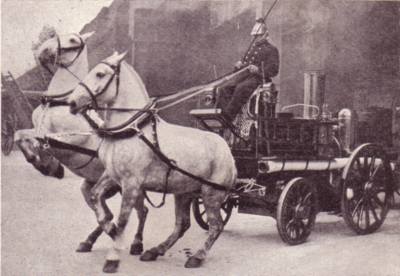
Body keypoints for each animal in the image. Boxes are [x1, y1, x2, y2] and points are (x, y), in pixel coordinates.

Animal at [14, 33, 149, 256]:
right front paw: (46, 164)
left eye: (72, 40)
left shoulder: (69, 138)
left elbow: (42, 141)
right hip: (89, 187)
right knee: (105, 214)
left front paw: (48, 165)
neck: (57, 102)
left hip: (129, 188)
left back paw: (137, 243)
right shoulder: (37, 129)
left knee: (141, 211)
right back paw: (90, 240)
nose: (42, 50)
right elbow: (20, 136)